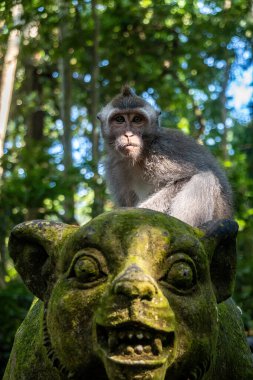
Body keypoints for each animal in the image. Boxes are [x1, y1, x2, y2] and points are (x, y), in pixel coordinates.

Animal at [97, 86, 233, 227]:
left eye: (137, 119)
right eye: (119, 119)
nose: (128, 134)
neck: (140, 155)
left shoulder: (163, 153)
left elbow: (184, 179)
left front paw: (136, 211)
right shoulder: (114, 167)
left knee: (205, 178)